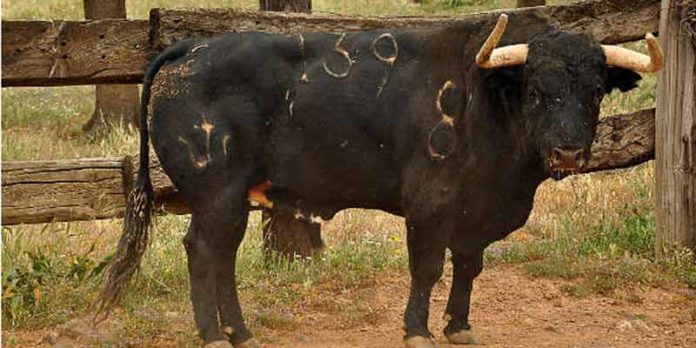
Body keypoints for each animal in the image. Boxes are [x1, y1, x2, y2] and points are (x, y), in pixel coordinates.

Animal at [98, 13, 652, 348]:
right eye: (536, 89)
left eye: (596, 91)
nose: (569, 151)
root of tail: (191, 49)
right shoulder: (429, 206)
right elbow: (427, 270)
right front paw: (417, 330)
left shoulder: (476, 216)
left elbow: (468, 268)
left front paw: (458, 325)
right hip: (216, 193)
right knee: (201, 251)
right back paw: (215, 333)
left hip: (232, 200)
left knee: (221, 255)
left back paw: (239, 331)